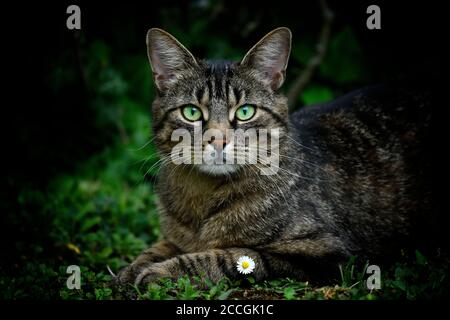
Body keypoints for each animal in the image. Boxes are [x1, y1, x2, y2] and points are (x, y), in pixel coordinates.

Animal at [116, 28, 432, 284]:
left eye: (245, 112)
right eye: (191, 112)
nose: (217, 138)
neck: (203, 197)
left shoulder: (328, 255)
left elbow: (230, 256)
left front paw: (163, 271)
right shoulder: (176, 237)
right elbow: (156, 248)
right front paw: (132, 268)